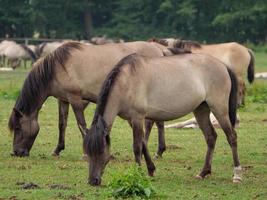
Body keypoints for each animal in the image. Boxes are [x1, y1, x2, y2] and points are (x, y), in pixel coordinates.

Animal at [8, 41, 184, 158]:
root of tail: (160, 48)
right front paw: (58, 149)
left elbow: (81, 125)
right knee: (159, 122)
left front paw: (86, 153)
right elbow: (62, 125)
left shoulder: (75, 98)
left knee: (151, 123)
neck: (57, 67)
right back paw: (158, 151)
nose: (17, 152)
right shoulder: (63, 100)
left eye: (18, 127)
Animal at [84, 52, 243, 186]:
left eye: (101, 151)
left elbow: (137, 147)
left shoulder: (137, 117)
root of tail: (223, 65)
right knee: (211, 137)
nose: (93, 181)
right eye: (88, 152)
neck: (127, 80)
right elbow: (143, 144)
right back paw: (203, 173)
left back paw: (237, 175)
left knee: (232, 137)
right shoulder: (132, 120)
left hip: (219, 109)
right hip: (201, 109)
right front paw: (150, 169)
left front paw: (138, 173)